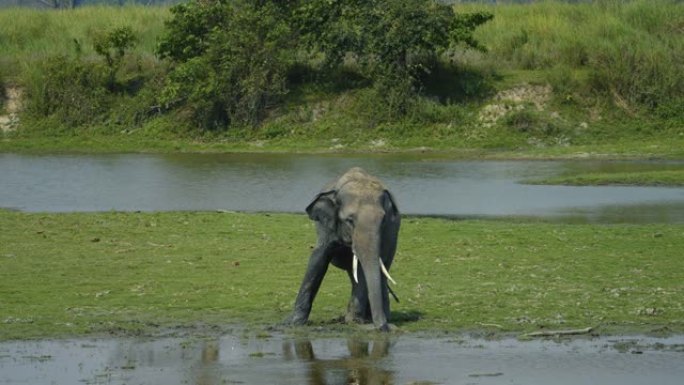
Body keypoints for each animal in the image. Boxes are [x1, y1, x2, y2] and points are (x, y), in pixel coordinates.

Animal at [284, 166, 400, 332]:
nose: (384, 327)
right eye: (349, 220)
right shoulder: (326, 224)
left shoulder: (389, 230)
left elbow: (365, 269)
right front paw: (293, 323)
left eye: (383, 220)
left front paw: (355, 321)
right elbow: (318, 259)